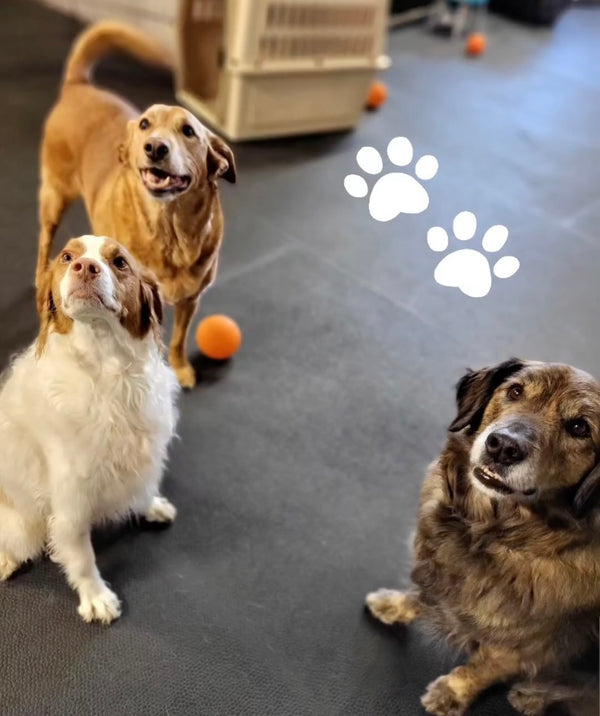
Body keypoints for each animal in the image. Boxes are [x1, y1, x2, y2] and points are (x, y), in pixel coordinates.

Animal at [36, 22, 238, 388]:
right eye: (145, 124)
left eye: (188, 131)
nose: (155, 147)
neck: (169, 232)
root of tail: (78, 86)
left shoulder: (191, 301)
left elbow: (179, 338)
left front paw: (180, 367)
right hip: (54, 197)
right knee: (45, 239)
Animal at [366, 360, 600, 712]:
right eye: (515, 391)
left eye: (579, 427)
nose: (503, 446)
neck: (487, 533)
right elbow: (422, 592)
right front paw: (394, 603)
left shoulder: (524, 646)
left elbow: (481, 668)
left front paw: (451, 692)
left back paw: (533, 696)